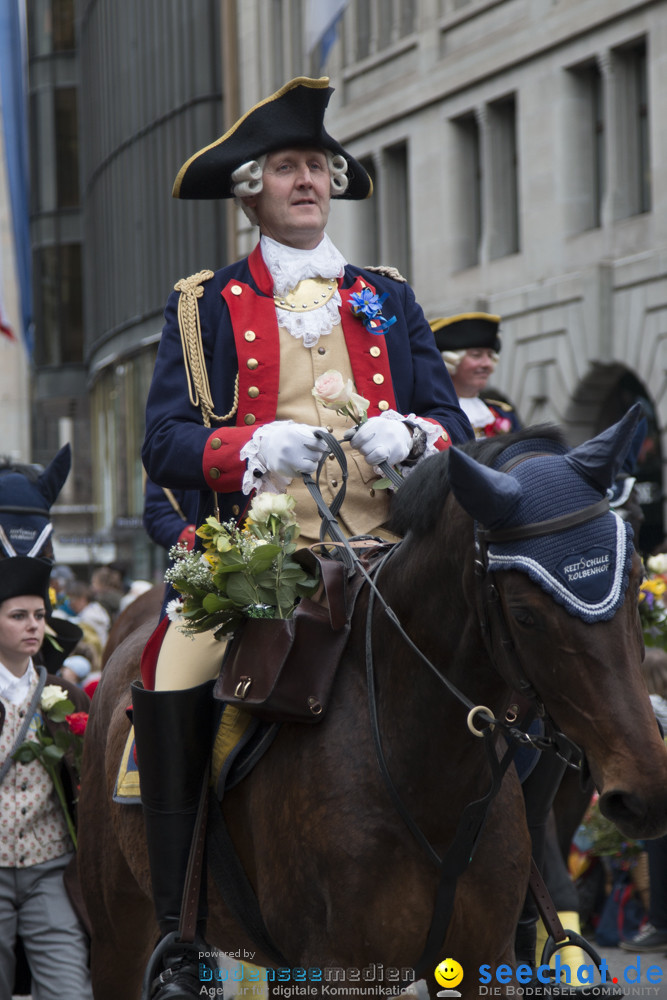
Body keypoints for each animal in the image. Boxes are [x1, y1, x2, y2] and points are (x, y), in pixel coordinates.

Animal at [75, 410, 667, 996]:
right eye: (524, 613)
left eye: (636, 577)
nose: (646, 793)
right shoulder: (335, 970)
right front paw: (286, 444)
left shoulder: (482, 961)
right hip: (117, 931)